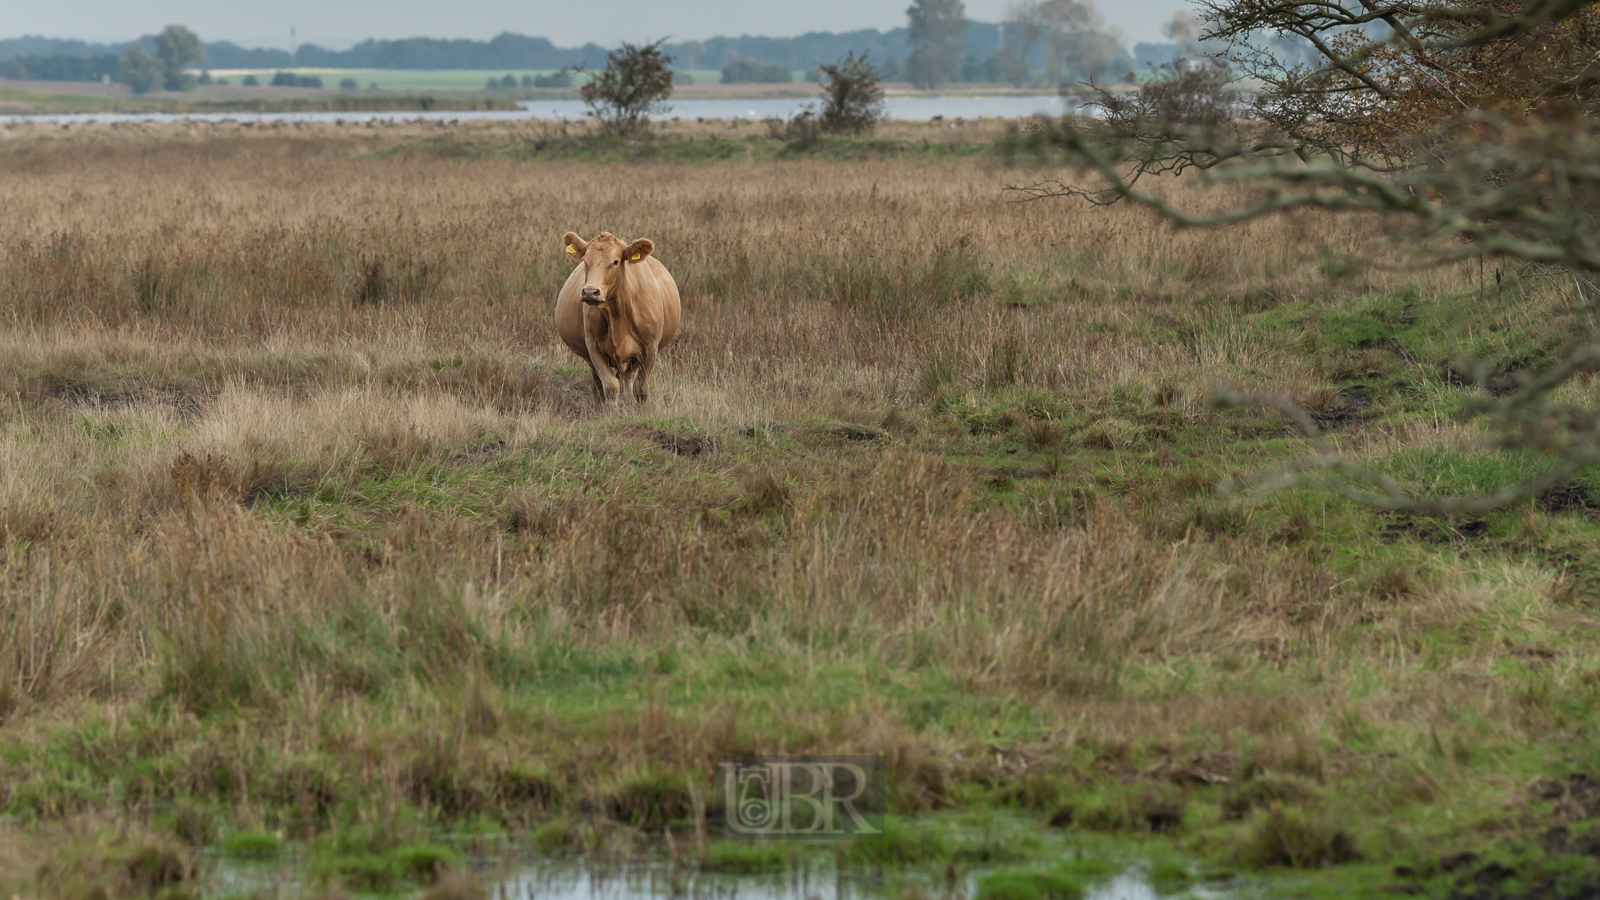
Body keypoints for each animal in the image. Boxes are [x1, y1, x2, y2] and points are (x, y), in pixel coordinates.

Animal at [553, 229, 678, 405]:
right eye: (585, 261)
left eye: (615, 262)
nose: (590, 291)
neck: (617, 316)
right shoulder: (593, 347)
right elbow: (611, 387)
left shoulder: (650, 347)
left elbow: (641, 389)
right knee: (600, 388)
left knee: (628, 382)